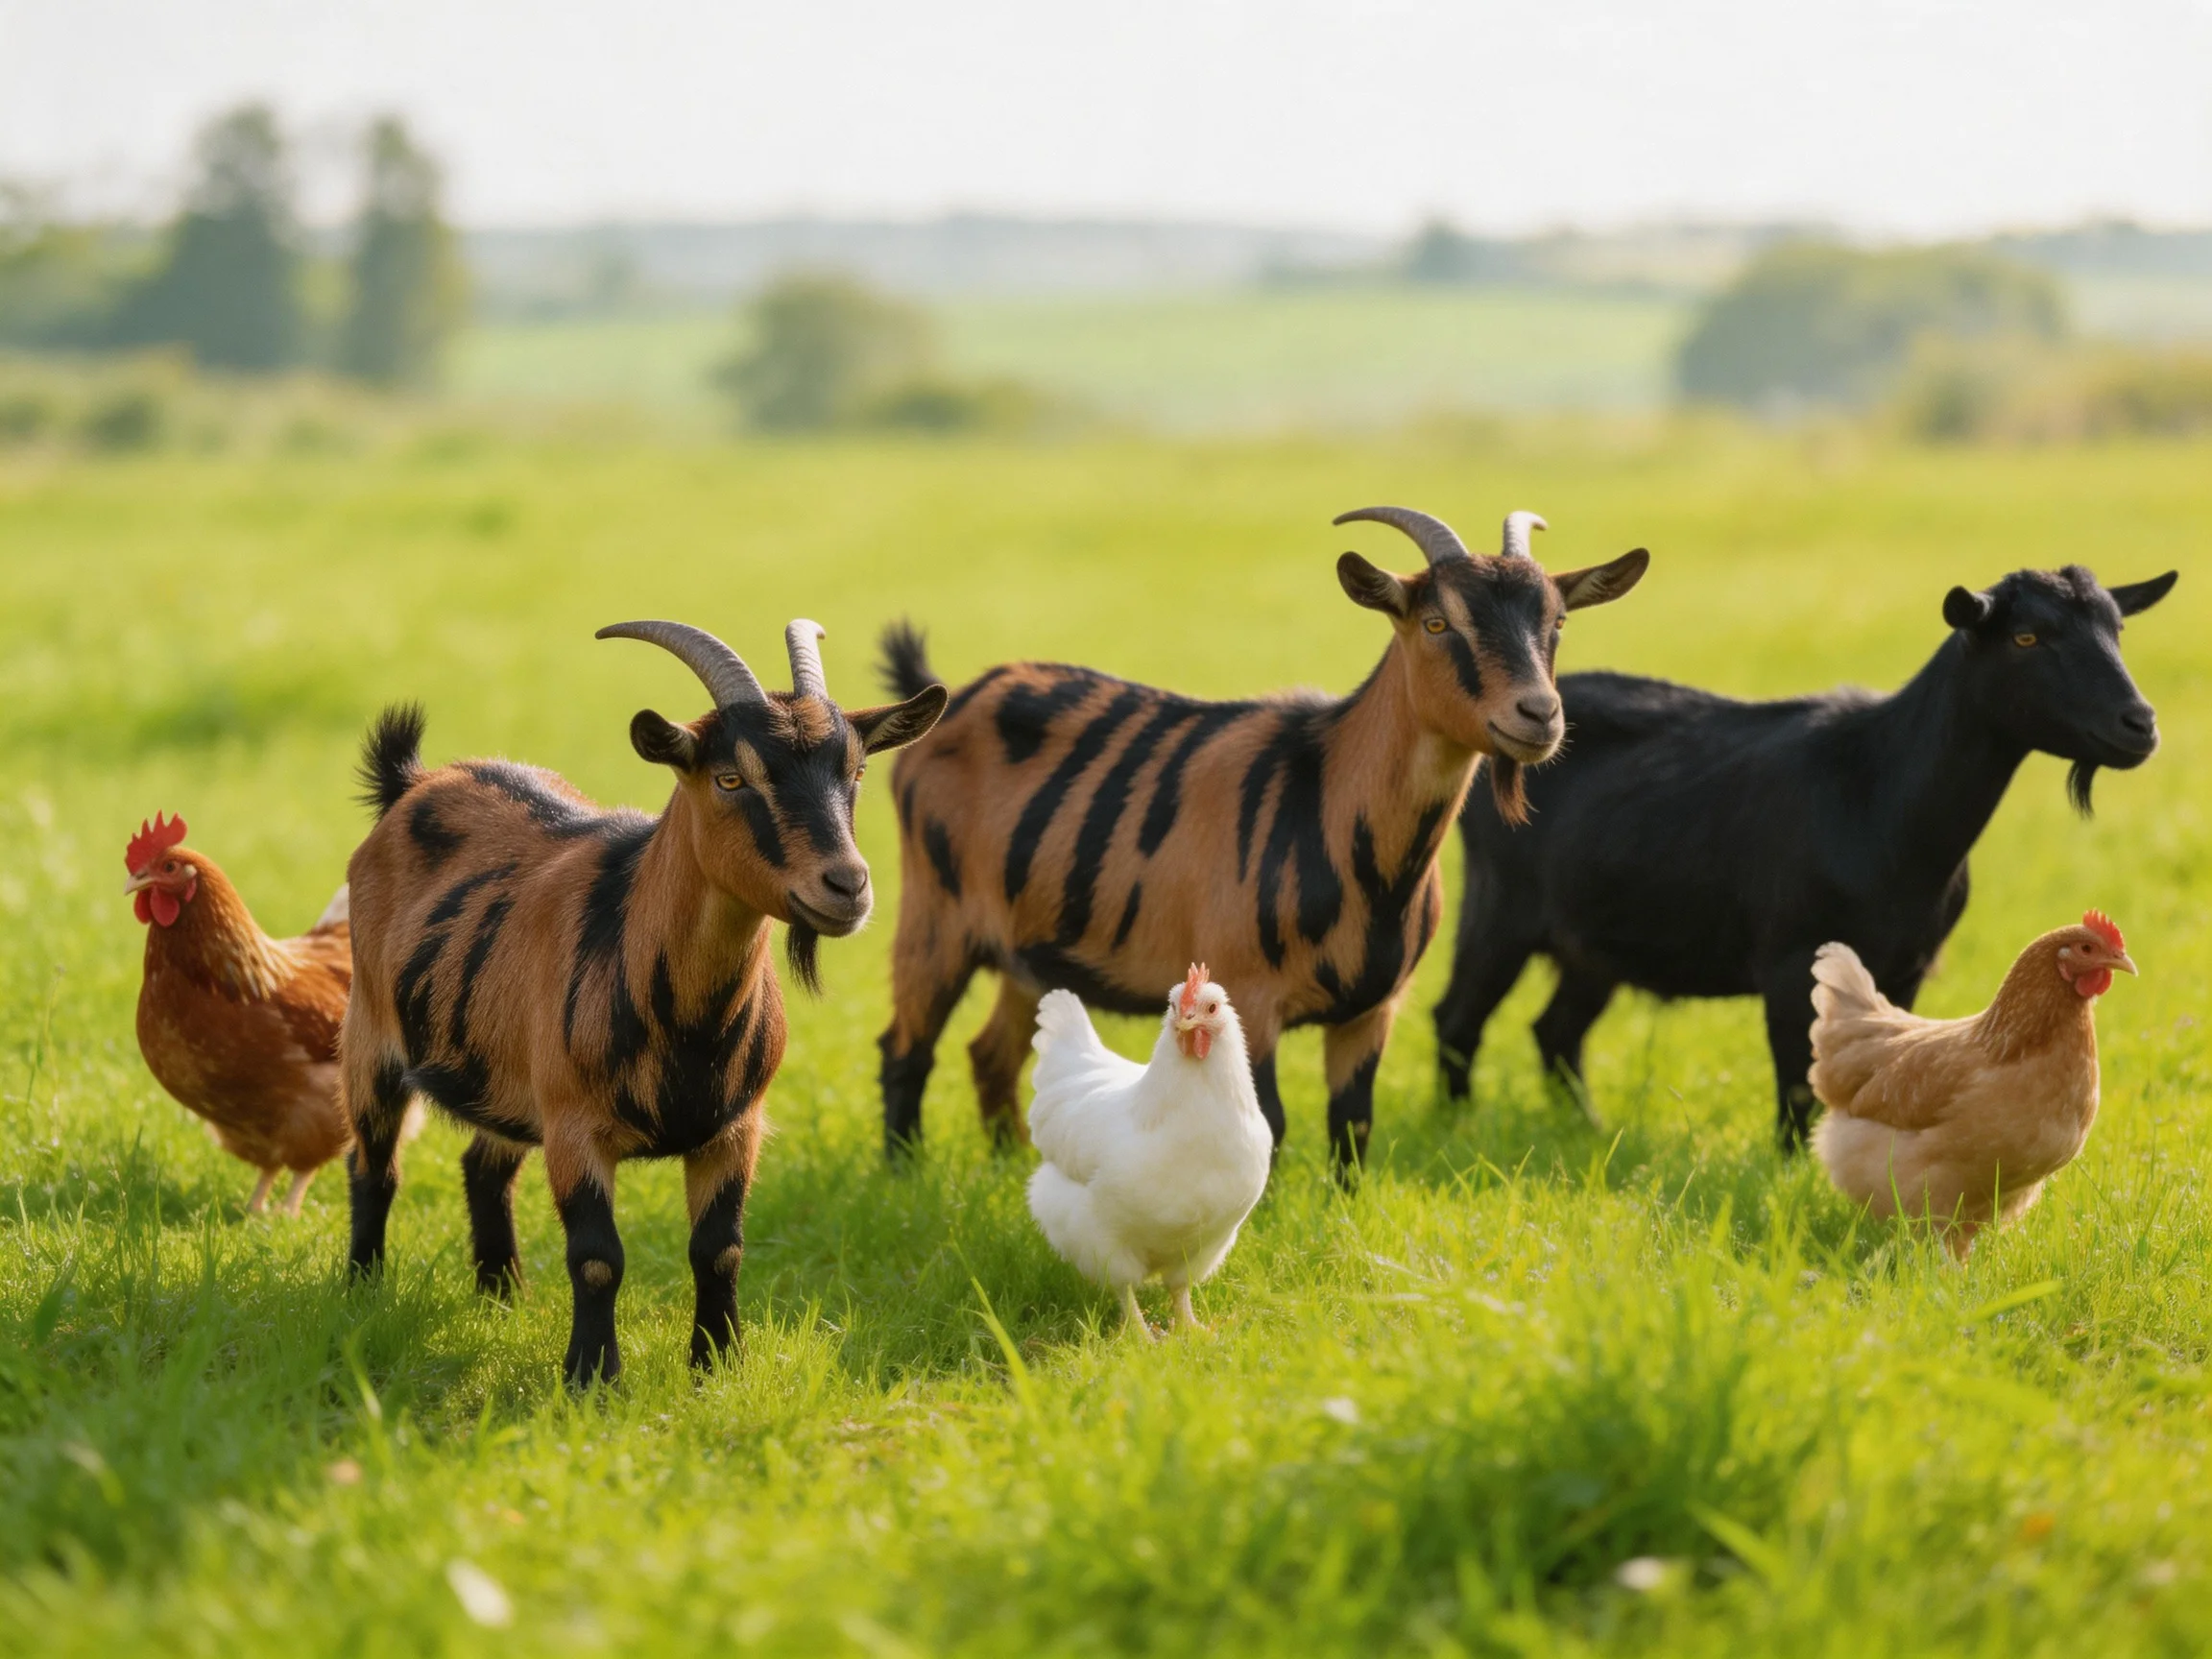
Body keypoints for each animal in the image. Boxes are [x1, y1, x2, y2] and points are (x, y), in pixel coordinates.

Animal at [340, 620, 945, 1386]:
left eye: (857, 772)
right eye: (729, 777)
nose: (847, 886)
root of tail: (415, 782)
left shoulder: (735, 1128)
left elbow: (720, 1250)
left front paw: (717, 1364)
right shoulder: (574, 1126)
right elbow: (598, 1259)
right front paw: (591, 1377)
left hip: (501, 1070)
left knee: (484, 1165)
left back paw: (500, 1298)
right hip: (370, 1037)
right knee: (373, 1166)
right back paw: (362, 1291)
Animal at [876, 506, 1649, 1171]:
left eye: (1557, 622)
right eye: (1436, 622)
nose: (1539, 714)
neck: (1327, 802)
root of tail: (950, 696)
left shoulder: (1373, 1010)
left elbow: (1352, 1126)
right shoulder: (1249, 993)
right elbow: (1267, 1123)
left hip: (1026, 952)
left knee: (992, 1056)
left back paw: (1010, 1166)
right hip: (936, 916)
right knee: (905, 1048)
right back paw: (903, 1178)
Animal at [1433, 563, 2177, 1149]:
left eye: (2117, 630)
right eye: (2026, 638)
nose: (2138, 726)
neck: (1881, 795)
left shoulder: (1906, 964)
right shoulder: (1791, 964)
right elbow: (1797, 1086)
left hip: (1594, 939)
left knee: (1555, 1030)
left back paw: (1586, 1130)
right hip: (1499, 904)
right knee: (1459, 1016)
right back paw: (1456, 1130)